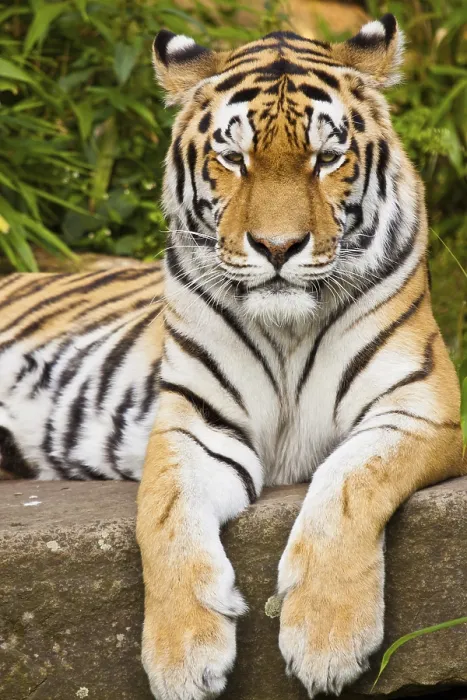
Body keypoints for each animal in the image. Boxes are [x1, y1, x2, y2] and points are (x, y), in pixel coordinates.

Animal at [0, 12, 464, 700]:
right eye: (233, 158)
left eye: (326, 159)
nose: (277, 247)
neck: (289, 330)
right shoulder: (195, 422)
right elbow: (165, 518)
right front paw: (182, 655)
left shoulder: (421, 404)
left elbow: (350, 481)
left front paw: (327, 638)